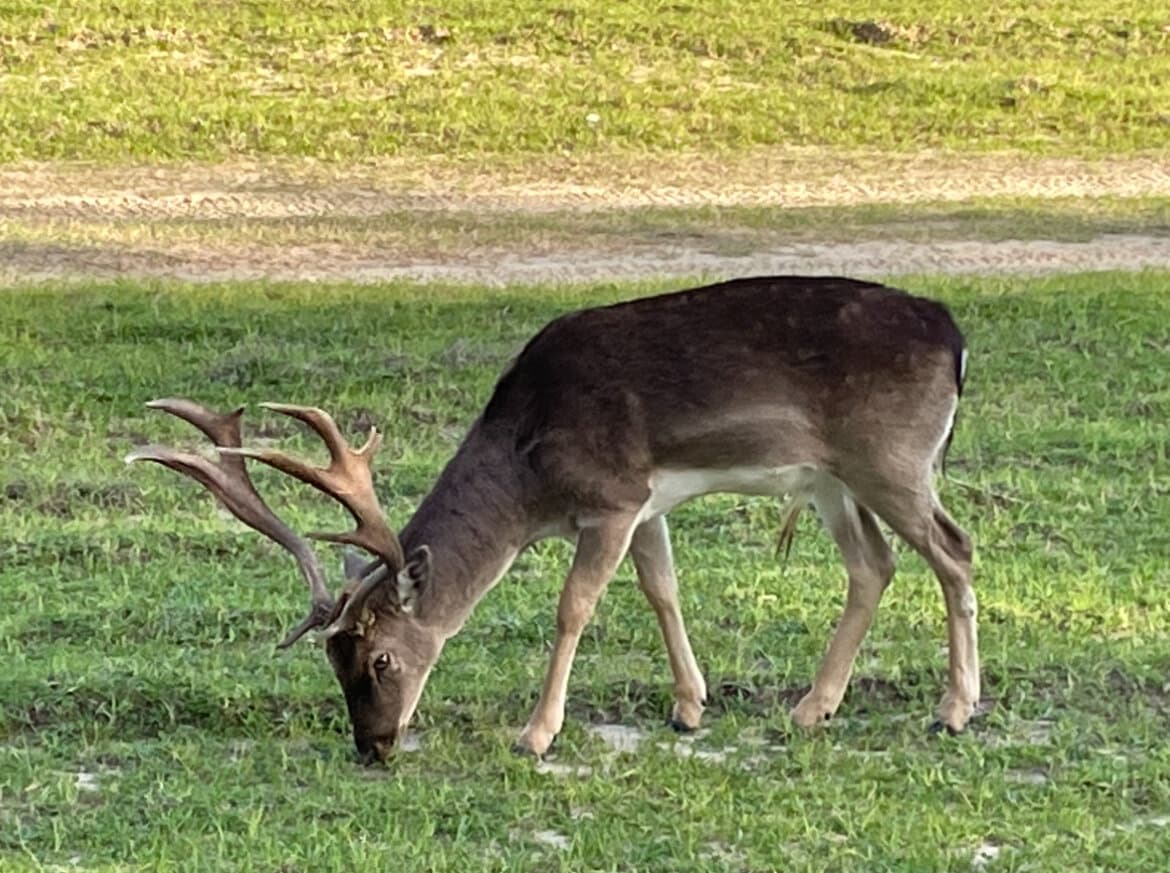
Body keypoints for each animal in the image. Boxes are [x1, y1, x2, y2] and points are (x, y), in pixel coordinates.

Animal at [128, 275, 977, 763]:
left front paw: (536, 734)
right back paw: (811, 707)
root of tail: (957, 337)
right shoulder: (645, 503)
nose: (372, 746)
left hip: (891, 458)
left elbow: (573, 606)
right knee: (874, 565)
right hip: (833, 478)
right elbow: (662, 590)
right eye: (332, 662)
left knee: (955, 549)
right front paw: (689, 708)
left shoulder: (611, 498)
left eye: (382, 660)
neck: (531, 471)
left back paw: (955, 709)